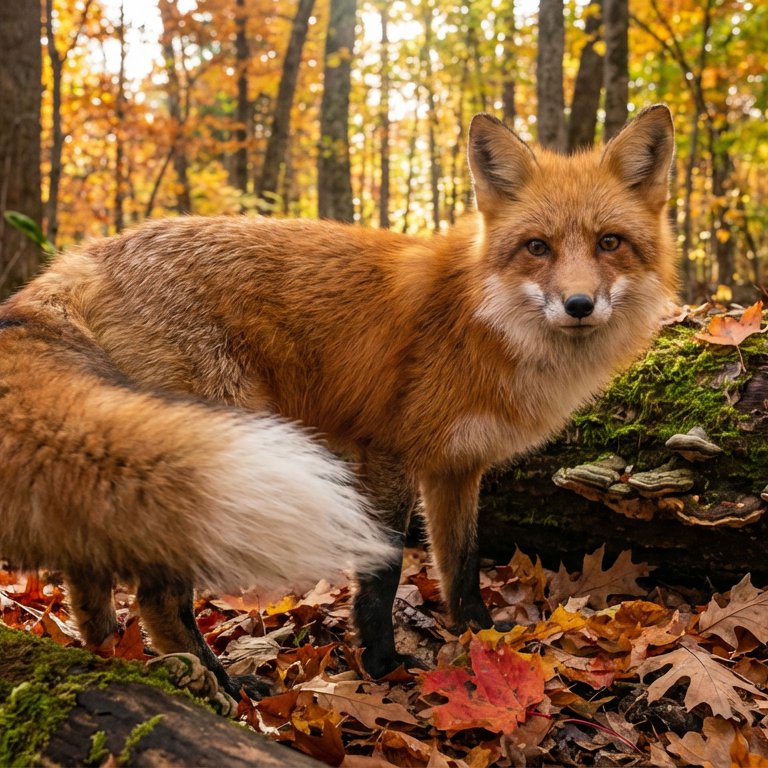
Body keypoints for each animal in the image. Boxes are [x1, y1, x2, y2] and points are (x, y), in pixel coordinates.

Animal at [0, 105, 676, 692]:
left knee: (88, 565)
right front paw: (381, 664)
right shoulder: (389, 452)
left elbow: (461, 567)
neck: (482, 319)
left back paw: (107, 652)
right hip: (204, 445)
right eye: (538, 247)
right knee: (156, 596)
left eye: (610, 243)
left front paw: (481, 638)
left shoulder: (456, 467)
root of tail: (83, 258)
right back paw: (219, 684)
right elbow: (382, 572)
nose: (579, 305)